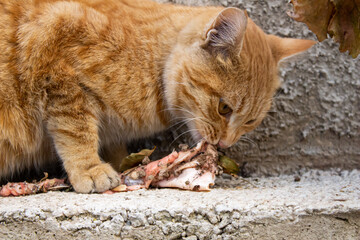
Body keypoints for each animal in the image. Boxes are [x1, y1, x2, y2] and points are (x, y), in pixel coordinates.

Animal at [0, 0, 316, 192]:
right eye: (224, 108)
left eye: (250, 121)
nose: (225, 143)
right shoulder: (58, 67)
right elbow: (75, 131)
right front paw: (89, 168)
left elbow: (113, 145)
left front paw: (125, 165)